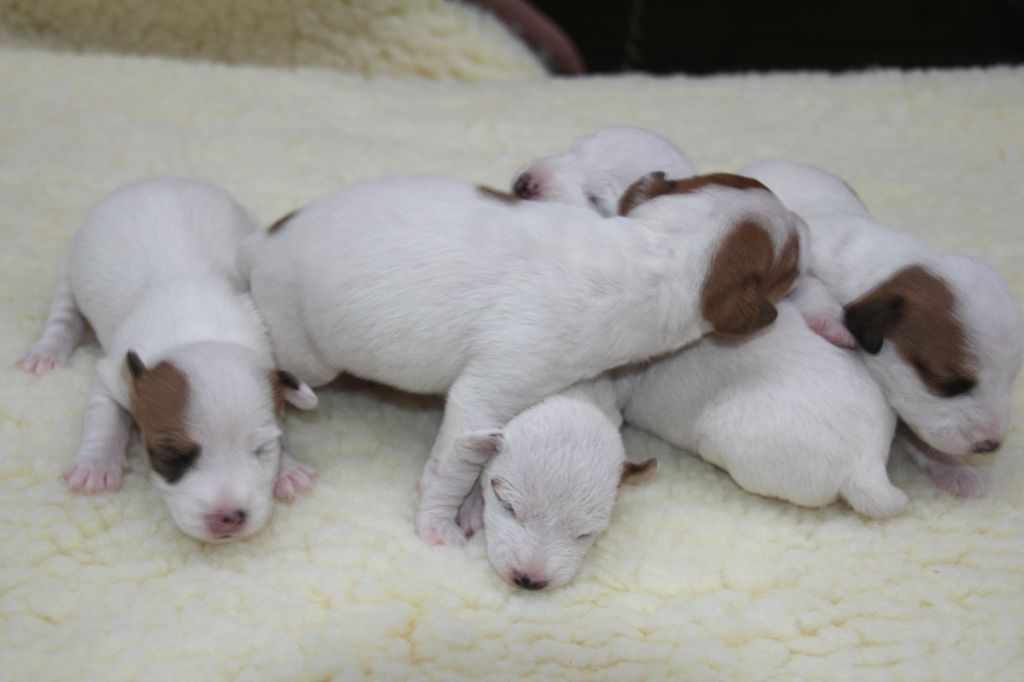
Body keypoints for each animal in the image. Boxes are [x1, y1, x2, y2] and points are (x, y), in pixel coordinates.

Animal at [20, 179, 319, 542]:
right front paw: (96, 464)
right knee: (64, 315)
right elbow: (104, 416)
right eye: (171, 454)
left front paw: (287, 469)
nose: (229, 517)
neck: (199, 331)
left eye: (262, 449)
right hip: (69, 267)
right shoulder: (113, 374)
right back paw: (46, 353)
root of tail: (157, 180)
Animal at [240, 173, 806, 545]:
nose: (804, 219)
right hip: (304, 351)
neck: (652, 248)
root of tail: (260, 245)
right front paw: (439, 520)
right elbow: (455, 464)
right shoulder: (489, 391)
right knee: (278, 392)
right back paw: (284, 467)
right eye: (792, 261)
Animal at [512, 127, 906, 516]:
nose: (524, 183)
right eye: (572, 148)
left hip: (727, 443)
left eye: (595, 198)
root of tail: (868, 466)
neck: (664, 246)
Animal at [742, 160, 1024, 497]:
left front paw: (953, 469)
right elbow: (812, 286)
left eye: (1010, 380)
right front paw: (832, 322)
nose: (992, 445)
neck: (886, 268)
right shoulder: (800, 266)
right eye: (948, 382)